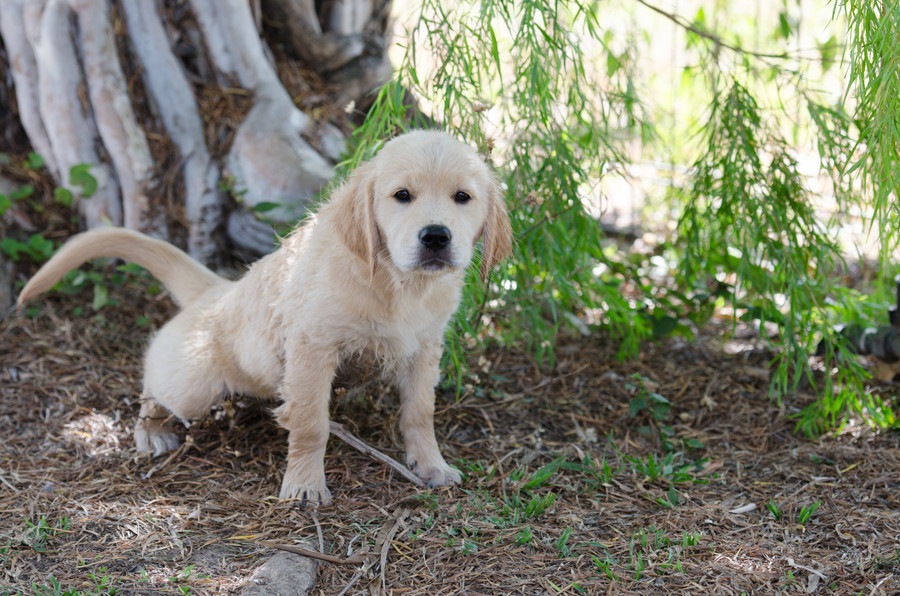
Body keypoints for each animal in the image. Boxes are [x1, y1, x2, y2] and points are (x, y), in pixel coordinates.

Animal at [17, 129, 512, 502]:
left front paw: (431, 465)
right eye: (402, 196)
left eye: (462, 197)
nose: (436, 236)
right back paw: (151, 433)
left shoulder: (424, 349)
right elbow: (311, 424)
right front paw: (305, 485)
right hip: (191, 386)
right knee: (152, 389)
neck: (398, 285)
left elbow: (419, 413)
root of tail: (215, 291)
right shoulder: (312, 350)